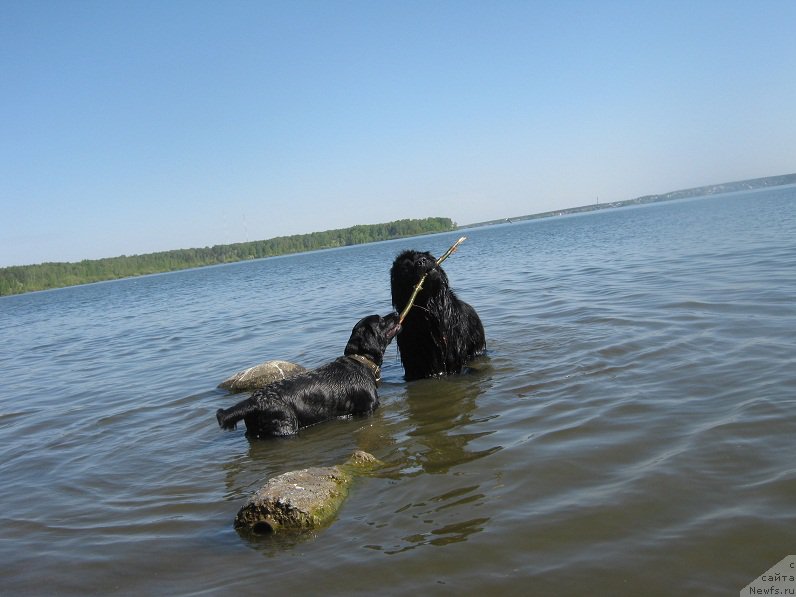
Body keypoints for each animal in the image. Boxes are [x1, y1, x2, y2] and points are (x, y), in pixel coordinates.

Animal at [216, 312, 398, 438]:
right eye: (381, 320)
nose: (396, 313)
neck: (361, 360)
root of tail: (255, 401)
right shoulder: (367, 409)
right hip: (285, 426)